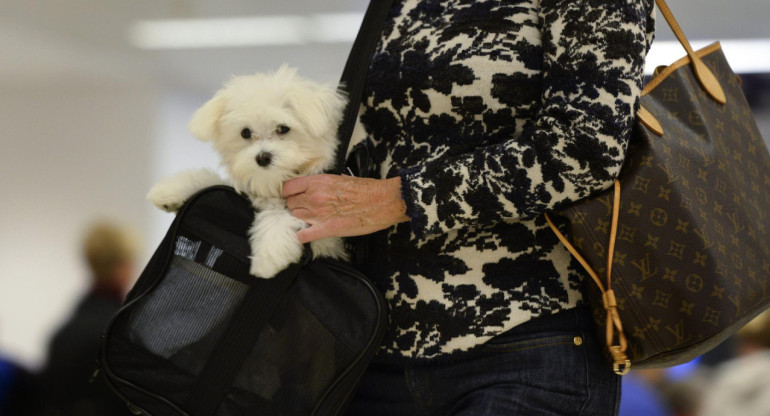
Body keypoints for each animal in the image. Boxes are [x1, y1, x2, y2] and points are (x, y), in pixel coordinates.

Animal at [146, 65, 348, 278]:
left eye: (283, 128)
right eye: (245, 133)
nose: (262, 157)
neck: (273, 185)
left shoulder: (321, 230)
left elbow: (286, 215)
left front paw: (269, 258)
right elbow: (210, 179)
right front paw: (169, 191)